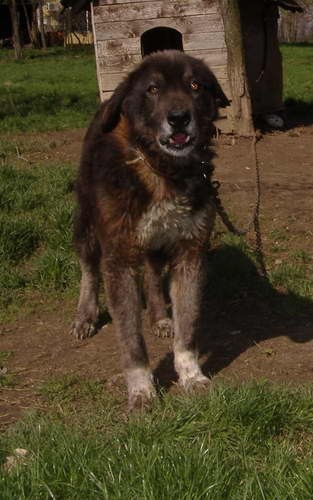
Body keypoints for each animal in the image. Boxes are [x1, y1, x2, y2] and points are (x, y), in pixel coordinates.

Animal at [71, 50, 229, 410]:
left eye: (195, 85)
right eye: (153, 89)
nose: (179, 118)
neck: (163, 171)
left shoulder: (190, 253)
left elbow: (188, 327)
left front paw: (191, 376)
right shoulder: (119, 260)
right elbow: (131, 339)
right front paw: (142, 390)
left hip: (157, 243)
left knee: (154, 277)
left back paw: (159, 317)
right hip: (87, 224)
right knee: (88, 269)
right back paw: (85, 315)